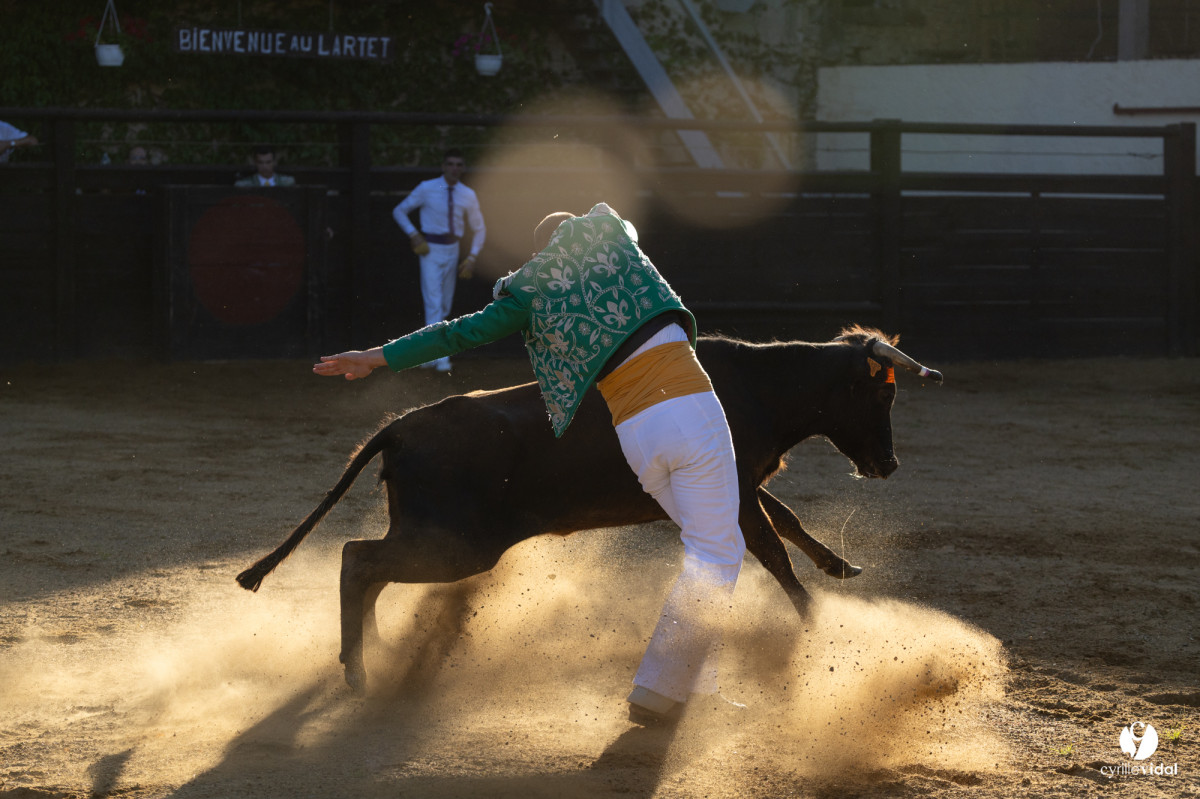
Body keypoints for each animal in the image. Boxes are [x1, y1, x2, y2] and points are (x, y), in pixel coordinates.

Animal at [237, 326, 943, 692]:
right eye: (879, 398)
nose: (889, 464)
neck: (758, 387)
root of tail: (400, 426)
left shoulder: (737, 483)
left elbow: (787, 523)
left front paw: (841, 569)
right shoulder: (734, 491)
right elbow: (772, 550)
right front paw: (819, 626)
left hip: (434, 538)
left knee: (369, 568)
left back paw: (375, 654)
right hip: (457, 545)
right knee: (357, 561)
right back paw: (358, 672)